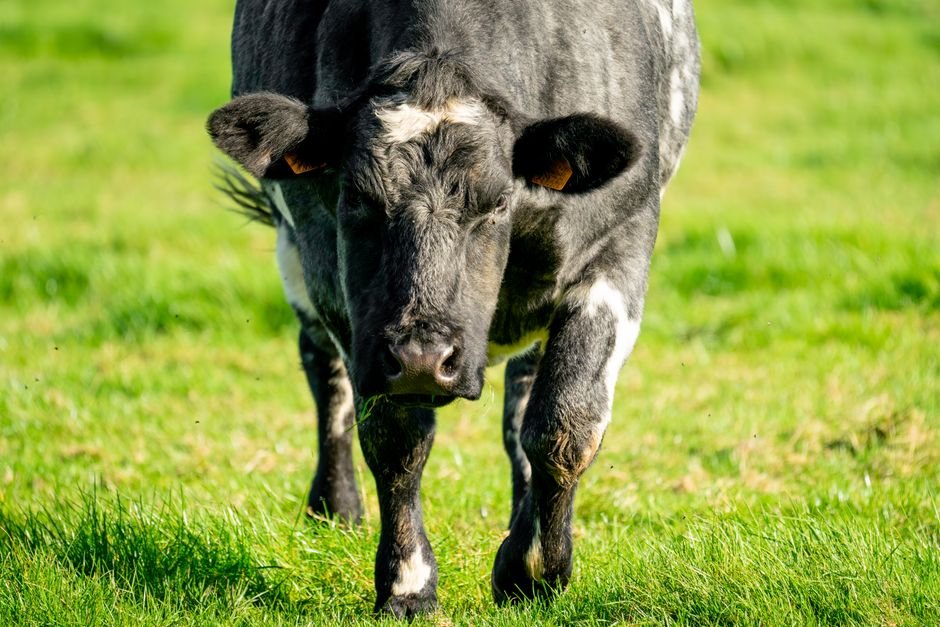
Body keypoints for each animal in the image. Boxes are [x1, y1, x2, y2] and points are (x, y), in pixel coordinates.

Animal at [207, 0, 699, 617]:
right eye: (357, 198)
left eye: (497, 202)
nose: (424, 358)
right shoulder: (334, 278)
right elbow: (395, 438)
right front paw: (408, 585)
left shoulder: (619, 244)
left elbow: (564, 423)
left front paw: (534, 571)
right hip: (294, 255)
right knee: (324, 372)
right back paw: (336, 508)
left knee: (523, 400)